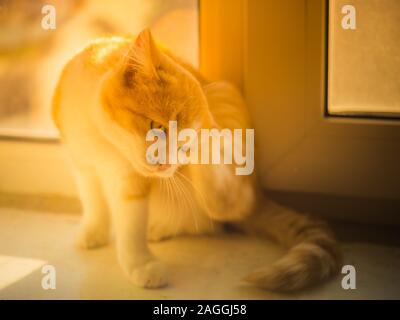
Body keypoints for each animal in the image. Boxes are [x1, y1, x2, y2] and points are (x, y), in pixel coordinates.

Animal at [52, 29, 340, 290]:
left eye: (185, 148)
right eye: (158, 126)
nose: (166, 165)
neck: (103, 141)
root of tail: (257, 190)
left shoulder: (130, 181)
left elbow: (131, 222)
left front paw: (140, 263)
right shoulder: (83, 163)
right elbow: (93, 200)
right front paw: (94, 231)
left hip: (226, 102)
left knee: (224, 202)